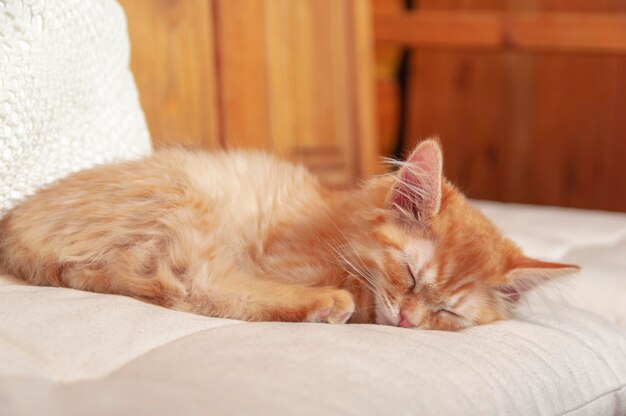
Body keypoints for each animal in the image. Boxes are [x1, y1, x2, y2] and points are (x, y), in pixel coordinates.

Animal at [0, 141, 576, 330]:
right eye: (410, 274)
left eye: (448, 313)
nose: (409, 321)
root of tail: (12, 227)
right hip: (186, 193)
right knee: (193, 286)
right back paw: (326, 304)